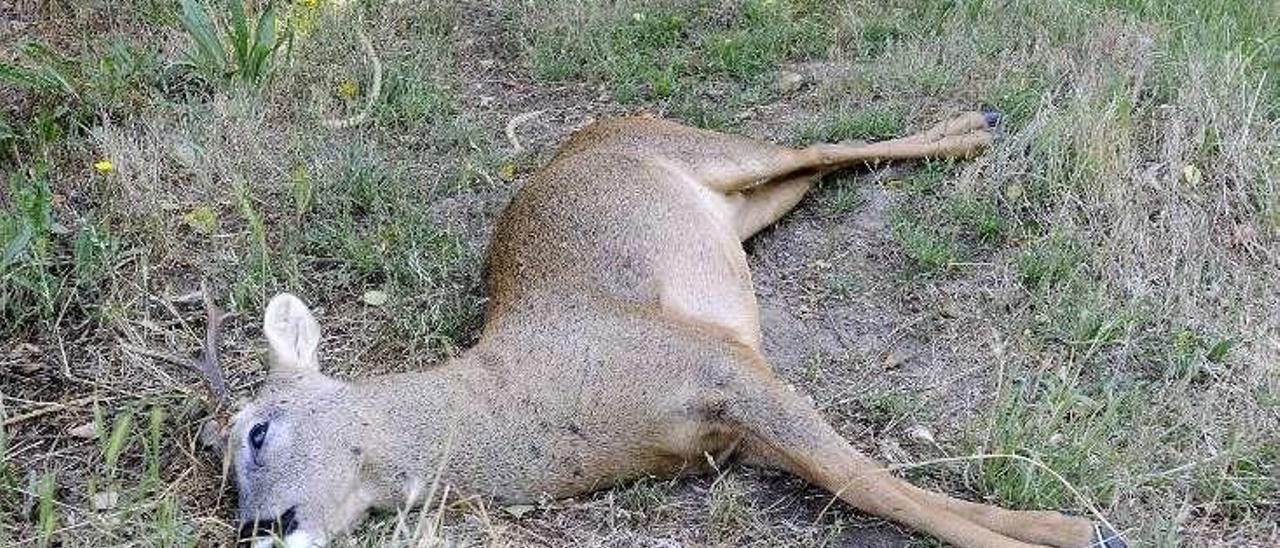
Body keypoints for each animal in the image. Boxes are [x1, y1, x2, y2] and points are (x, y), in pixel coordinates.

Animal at [194, 111, 1126, 548]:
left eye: (256, 432)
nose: (255, 529)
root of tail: (598, 129)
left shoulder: (728, 367)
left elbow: (870, 482)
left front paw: (1073, 527)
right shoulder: (728, 436)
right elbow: (855, 480)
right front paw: (1067, 525)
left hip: (719, 155)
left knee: (817, 143)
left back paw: (975, 131)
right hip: (742, 211)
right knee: (815, 168)